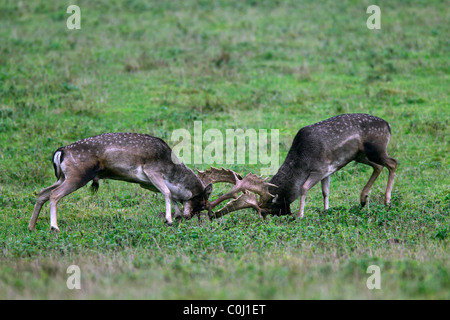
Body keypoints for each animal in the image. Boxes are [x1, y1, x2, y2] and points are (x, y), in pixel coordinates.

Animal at [28, 131, 214, 231]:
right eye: (202, 203)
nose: (188, 217)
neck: (171, 171)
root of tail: (61, 151)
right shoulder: (152, 170)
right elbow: (168, 193)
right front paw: (169, 219)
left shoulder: (146, 183)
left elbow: (170, 195)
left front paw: (176, 215)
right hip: (76, 176)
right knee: (54, 194)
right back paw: (54, 227)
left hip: (62, 177)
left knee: (42, 193)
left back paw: (32, 226)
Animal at [202, 113, 400, 220]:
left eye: (268, 209)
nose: (286, 214)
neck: (302, 160)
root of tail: (389, 126)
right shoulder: (328, 170)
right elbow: (325, 191)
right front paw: (326, 210)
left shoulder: (320, 169)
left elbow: (304, 188)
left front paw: (301, 215)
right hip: (361, 156)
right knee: (379, 166)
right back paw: (363, 198)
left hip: (376, 149)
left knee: (393, 163)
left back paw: (387, 201)